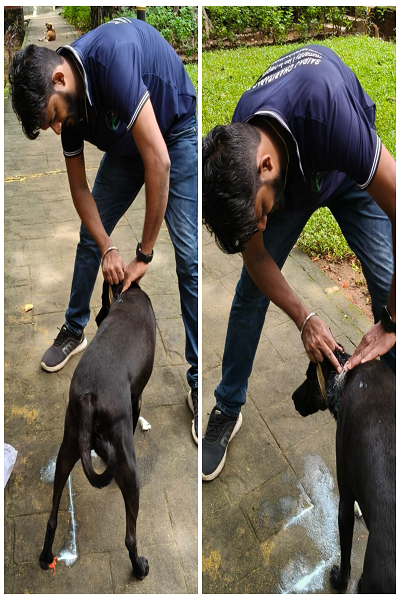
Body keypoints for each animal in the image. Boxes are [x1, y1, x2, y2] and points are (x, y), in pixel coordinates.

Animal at [39, 281, 156, 579]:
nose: (97, 317)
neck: (129, 294)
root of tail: (90, 398)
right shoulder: (136, 399)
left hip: (67, 450)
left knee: (52, 518)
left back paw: (45, 557)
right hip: (129, 470)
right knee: (130, 537)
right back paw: (139, 567)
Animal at [292, 349, 395, 593]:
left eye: (308, 378)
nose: (292, 398)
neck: (346, 376)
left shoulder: (345, 500)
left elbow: (346, 559)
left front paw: (339, 581)